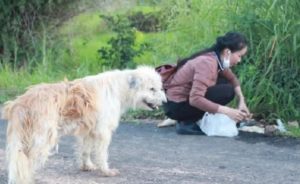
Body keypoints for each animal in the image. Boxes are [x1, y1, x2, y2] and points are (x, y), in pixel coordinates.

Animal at [1, 66, 166, 184]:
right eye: (151, 89)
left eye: (159, 87)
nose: (165, 102)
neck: (119, 88)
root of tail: (21, 102)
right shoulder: (103, 132)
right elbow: (102, 154)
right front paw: (106, 171)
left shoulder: (88, 131)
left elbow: (85, 151)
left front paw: (86, 166)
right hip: (42, 139)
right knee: (27, 161)